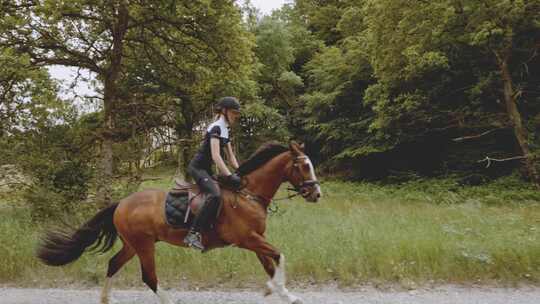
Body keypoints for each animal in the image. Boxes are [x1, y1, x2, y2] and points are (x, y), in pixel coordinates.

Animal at [39, 141, 324, 302]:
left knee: (113, 264)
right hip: (144, 246)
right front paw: (279, 291)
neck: (248, 194)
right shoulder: (247, 239)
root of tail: (121, 203)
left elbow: (271, 264)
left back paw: (105, 300)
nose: (317, 194)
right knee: (149, 277)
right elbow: (279, 256)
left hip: (132, 245)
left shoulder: (256, 240)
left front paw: (281, 293)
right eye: (304, 166)